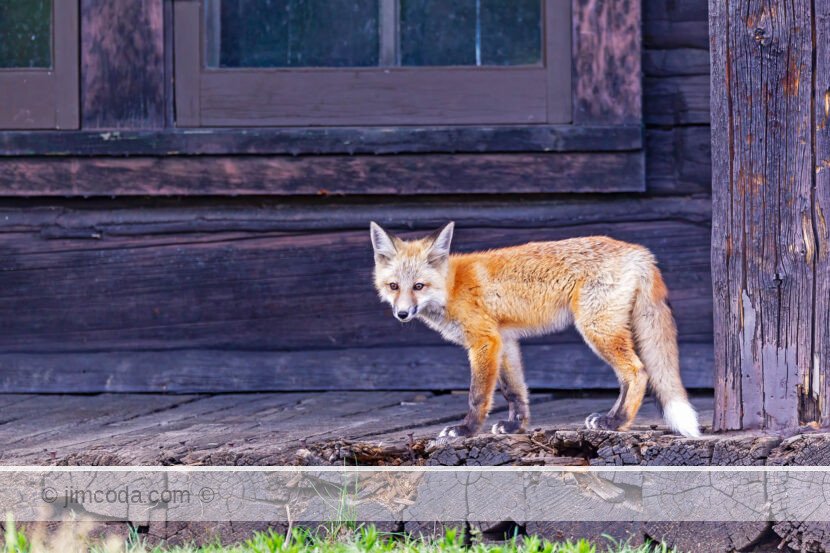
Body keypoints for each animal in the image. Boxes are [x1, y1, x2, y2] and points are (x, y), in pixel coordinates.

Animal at [370, 221, 700, 439]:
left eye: (419, 286)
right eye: (394, 286)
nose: (402, 313)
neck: (452, 287)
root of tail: (640, 252)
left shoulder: (484, 341)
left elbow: (478, 395)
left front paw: (466, 430)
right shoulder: (505, 340)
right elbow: (514, 391)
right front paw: (514, 426)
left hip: (596, 328)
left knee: (638, 372)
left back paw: (616, 423)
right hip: (606, 329)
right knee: (627, 377)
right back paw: (610, 418)